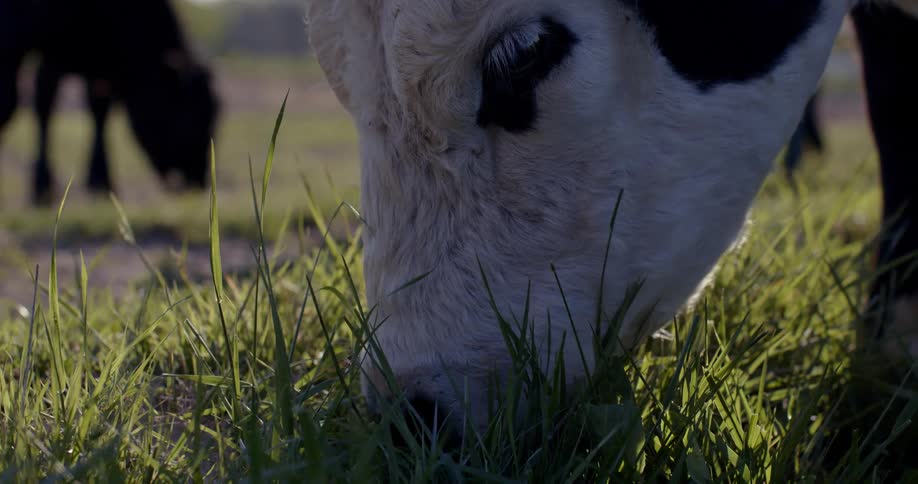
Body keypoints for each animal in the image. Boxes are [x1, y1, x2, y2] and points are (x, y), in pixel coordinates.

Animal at [0, 0, 219, 204]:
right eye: (189, 117)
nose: (198, 181)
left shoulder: (100, 68)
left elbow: (99, 112)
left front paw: (101, 182)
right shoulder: (43, 49)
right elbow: (41, 104)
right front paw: (42, 188)